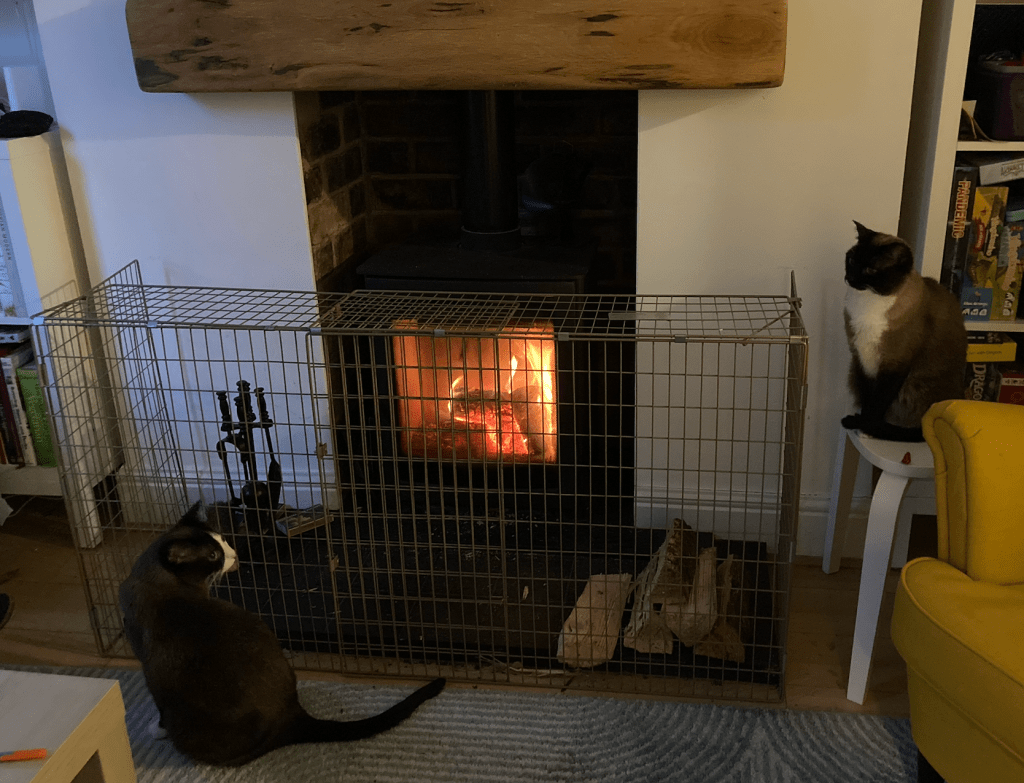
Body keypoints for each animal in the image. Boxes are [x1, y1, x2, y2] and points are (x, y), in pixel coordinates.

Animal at [119, 502, 445, 767]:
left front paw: (155, 729)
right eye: (214, 553)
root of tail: (291, 714)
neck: (155, 579)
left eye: (222, 543)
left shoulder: (149, 665)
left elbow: (158, 706)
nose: (233, 555)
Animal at [841, 221, 967, 442]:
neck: (868, 300)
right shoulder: (862, 360)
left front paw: (867, 429)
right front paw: (861, 422)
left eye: (870, 269)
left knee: (915, 431)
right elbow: (867, 399)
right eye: (852, 259)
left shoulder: (895, 365)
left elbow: (877, 404)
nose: (850, 278)